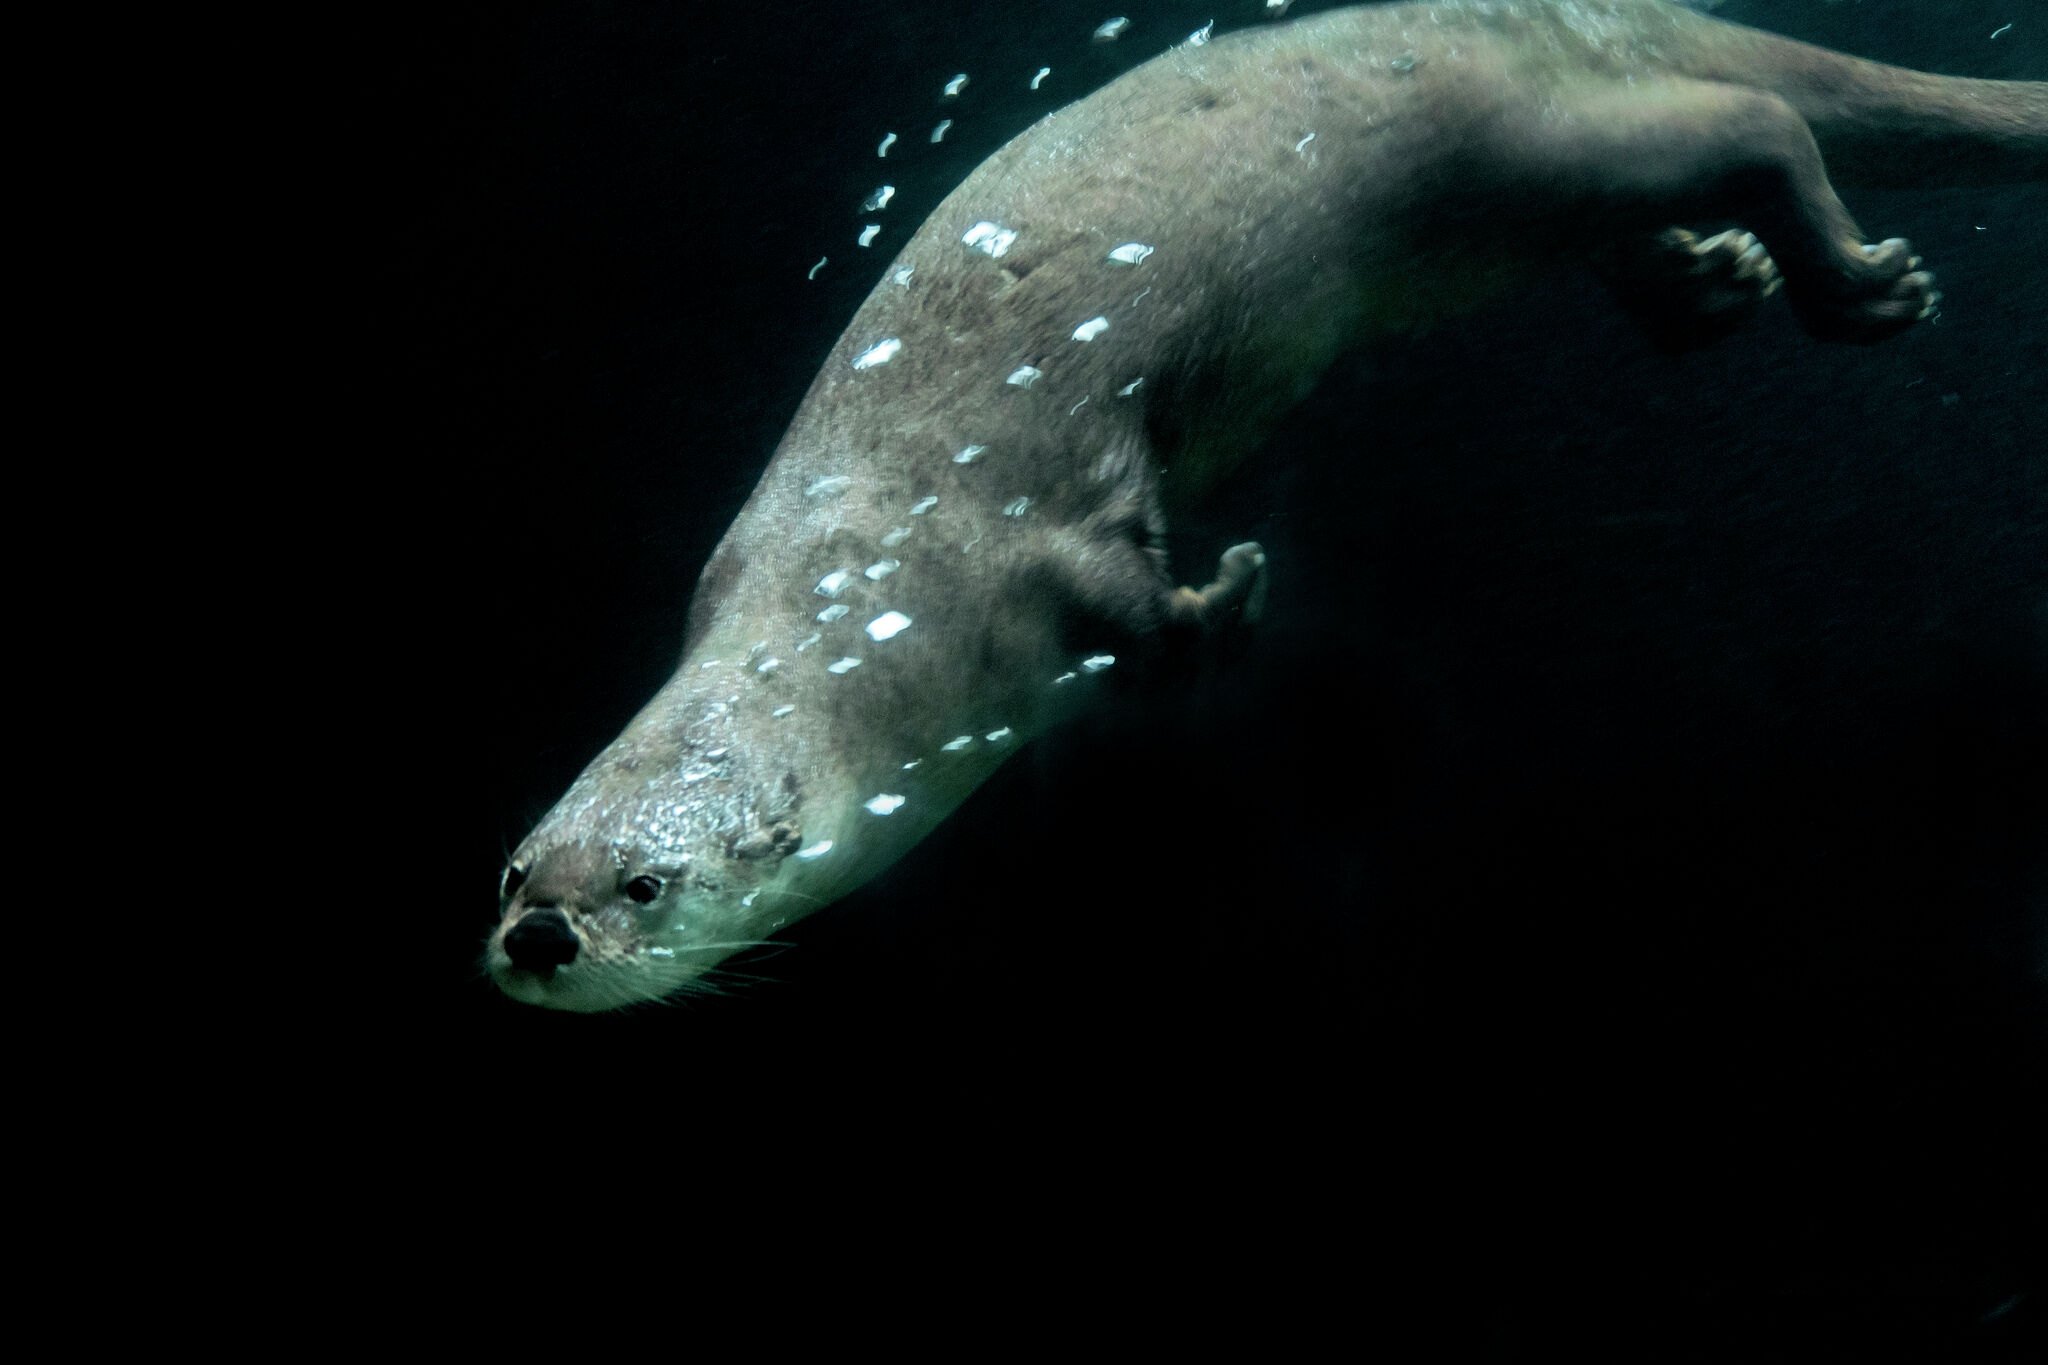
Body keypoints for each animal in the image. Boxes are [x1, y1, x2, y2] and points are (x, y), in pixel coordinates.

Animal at [488, 1, 2045, 1011]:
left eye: (643, 887)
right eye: (517, 872)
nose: (542, 940)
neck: (862, 590)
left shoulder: (1023, 552)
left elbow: (1141, 601)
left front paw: (1231, 598)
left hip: (1504, 127)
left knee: (1752, 116)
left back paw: (1858, 284)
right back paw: (1714, 282)